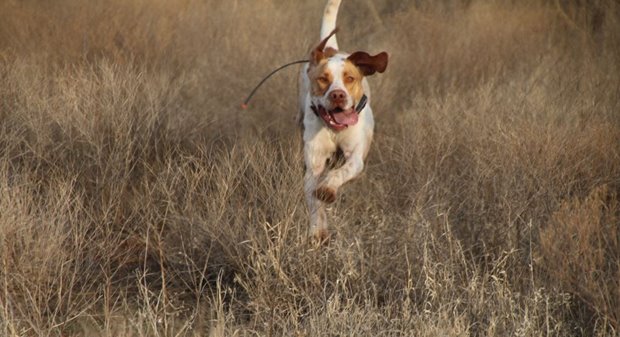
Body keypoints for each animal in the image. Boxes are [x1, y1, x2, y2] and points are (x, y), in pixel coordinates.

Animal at [296, 0, 388, 242]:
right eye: (322, 79)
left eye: (350, 78)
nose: (337, 95)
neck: (334, 129)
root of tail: (331, 48)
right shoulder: (314, 164)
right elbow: (314, 201)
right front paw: (318, 229)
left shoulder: (356, 157)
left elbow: (340, 173)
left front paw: (328, 188)